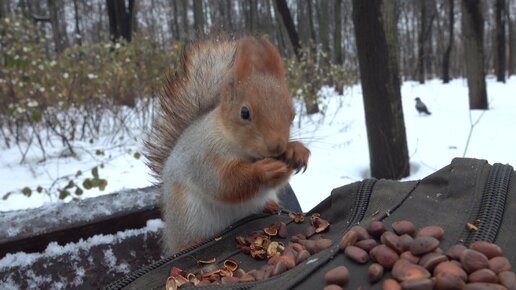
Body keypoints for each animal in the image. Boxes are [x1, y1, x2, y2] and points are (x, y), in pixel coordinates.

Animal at [143, 36, 308, 254]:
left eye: (293, 114)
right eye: (244, 112)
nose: (277, 147)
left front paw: (297, 151)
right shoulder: (205, 155)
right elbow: (224, 183)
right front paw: (263, 171)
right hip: (187, 218)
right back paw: (190, 244)